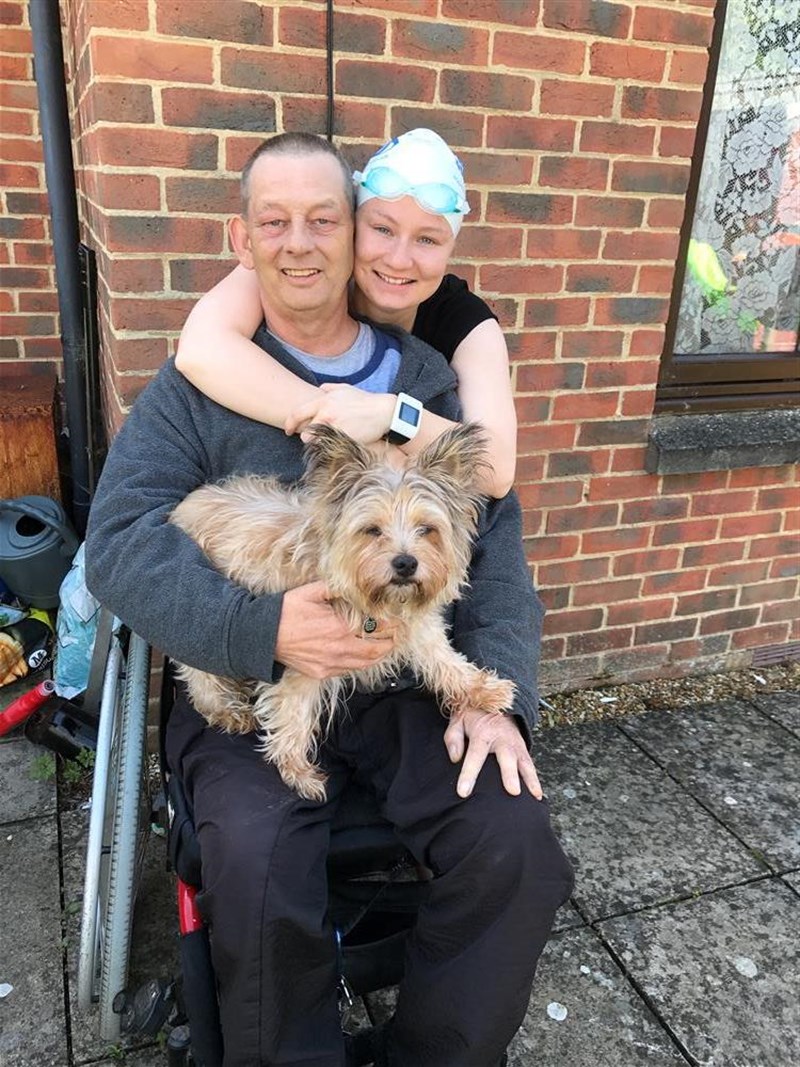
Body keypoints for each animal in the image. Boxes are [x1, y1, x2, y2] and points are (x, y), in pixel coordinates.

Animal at [169, 423, 516, 801]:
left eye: (427, 529)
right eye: (372, 530)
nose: (406, 563)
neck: (378, 601)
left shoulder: (417, 624)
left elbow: (443, 658)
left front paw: (481, 688)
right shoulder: (304, 654)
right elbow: (294, 712)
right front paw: (296, 771)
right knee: (199, 672)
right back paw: (224, 710)